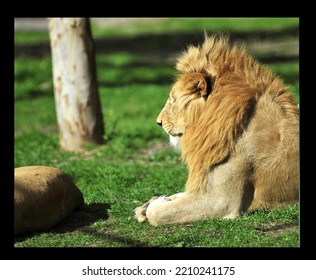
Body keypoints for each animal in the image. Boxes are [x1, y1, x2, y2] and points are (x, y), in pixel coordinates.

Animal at [134, 34, 298, 226]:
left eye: (172, 100)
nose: (158, 122)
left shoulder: (221, 201)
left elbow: (158, 213)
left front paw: (155, 204)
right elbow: (178, 196)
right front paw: (150, 203)